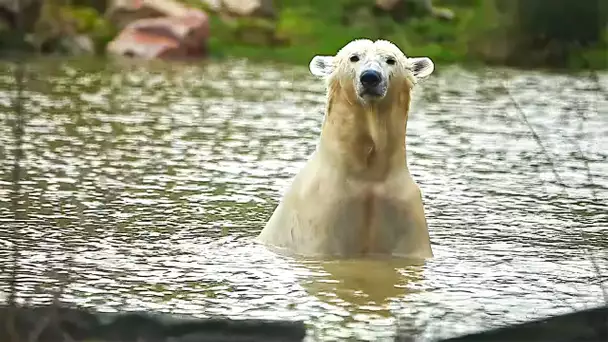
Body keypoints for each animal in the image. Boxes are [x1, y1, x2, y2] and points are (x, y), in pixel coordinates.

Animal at [258, 38, 434, 260]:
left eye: (390, 60)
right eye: (354, 57)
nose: (370, 78)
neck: (366, 174)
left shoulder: (404, 210)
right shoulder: (322, 214)